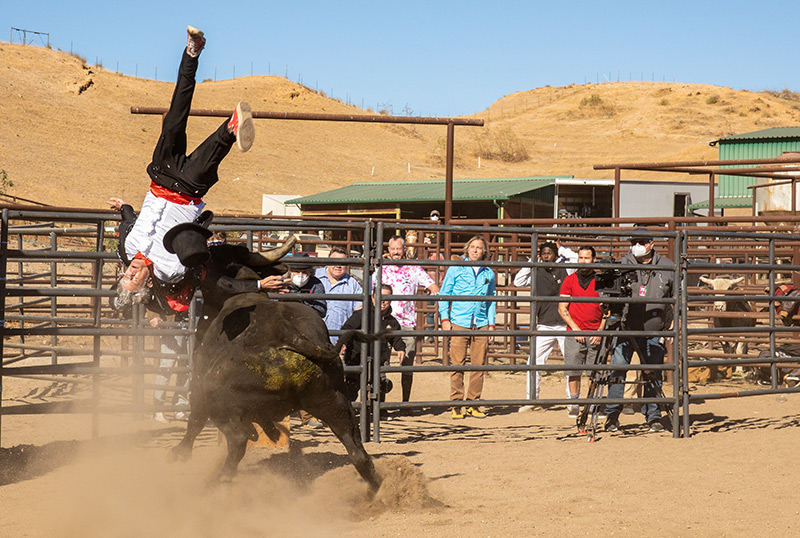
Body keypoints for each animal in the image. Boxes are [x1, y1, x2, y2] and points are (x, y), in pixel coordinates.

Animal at [170, 245, 382, 488]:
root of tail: (287, 333)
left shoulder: (198, 385)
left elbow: (195, 420)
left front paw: (180, 452)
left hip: (219, 402)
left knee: (237, 440)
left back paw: (219, 479)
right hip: (335, 401)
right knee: (357, 451)